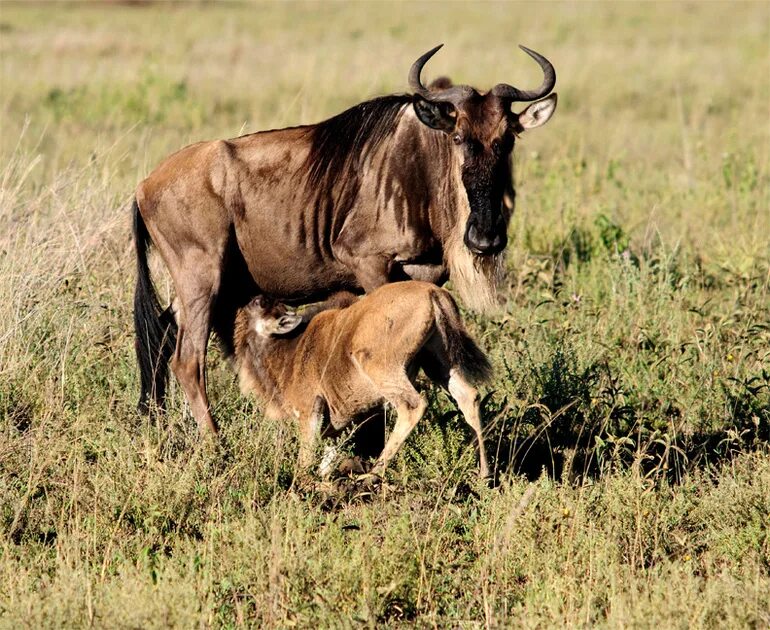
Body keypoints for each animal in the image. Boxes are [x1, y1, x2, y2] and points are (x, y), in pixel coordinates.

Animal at [231, 282, 488, 478]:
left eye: (260, 303)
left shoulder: (310, 410)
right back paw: (484, 475)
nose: (242, 301)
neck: (291, 346)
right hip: (438, 363)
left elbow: (306, 459)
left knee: (412, 406)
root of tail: (433, 292)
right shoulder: (335, 425)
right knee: (470, 397)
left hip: (378, 366)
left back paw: (372, 474)